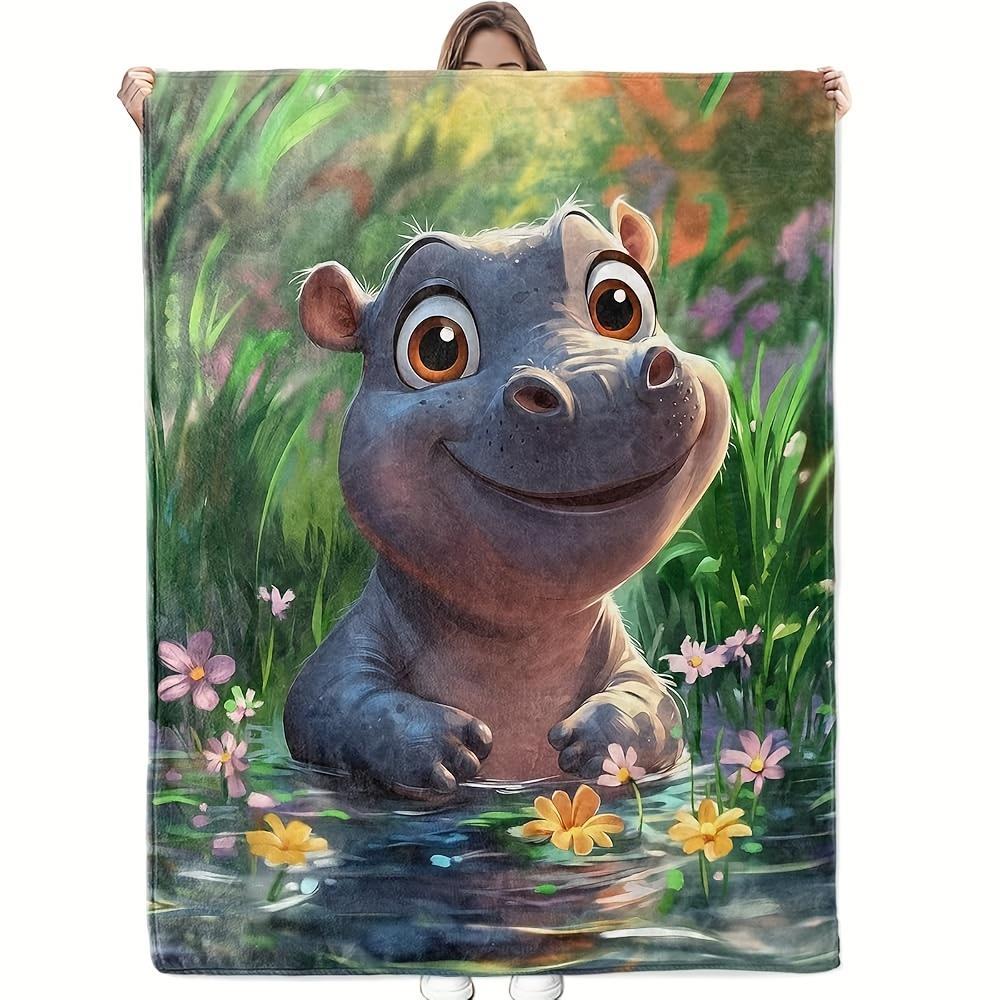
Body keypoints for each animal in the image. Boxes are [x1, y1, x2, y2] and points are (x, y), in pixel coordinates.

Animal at [283, 196, 731, 798]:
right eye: (437, 345)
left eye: (619, 305)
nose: (597, 383)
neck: (519, 642)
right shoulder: (336, 667)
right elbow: (331, 703)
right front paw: (446, 742)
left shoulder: (629, 661)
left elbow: (659, 705)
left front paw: (598, 738)